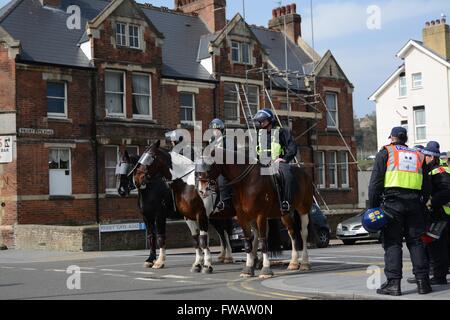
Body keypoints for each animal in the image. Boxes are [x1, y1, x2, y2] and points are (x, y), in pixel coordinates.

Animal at [197, 149, 312, 278]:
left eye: (209, 166)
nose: (202, 191)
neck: (247, 182)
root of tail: (304, 173)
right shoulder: (242, 217)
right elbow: (247, 242)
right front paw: (248, 269)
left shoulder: (260, 215)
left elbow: (263, 242)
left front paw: (266, 270)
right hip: (285, 214)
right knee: (292, 233)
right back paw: (293, 263)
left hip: (303, 209)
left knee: (303, 233)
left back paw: (304, 263)